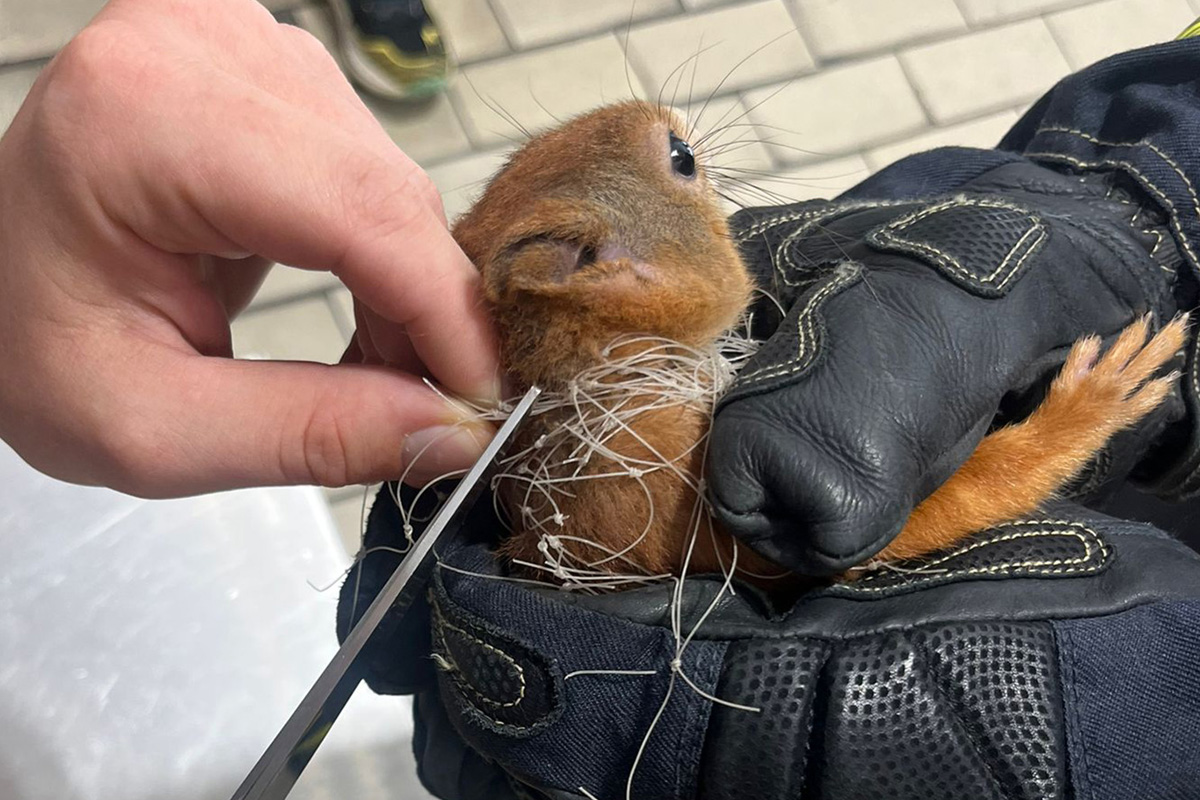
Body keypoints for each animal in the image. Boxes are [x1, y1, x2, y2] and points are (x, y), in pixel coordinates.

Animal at [449, 100, 1186, 584]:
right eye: (681, 159)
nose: (666, 110)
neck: (607, 370)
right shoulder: (673, 491)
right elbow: (966, 498)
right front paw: (1099, 395)